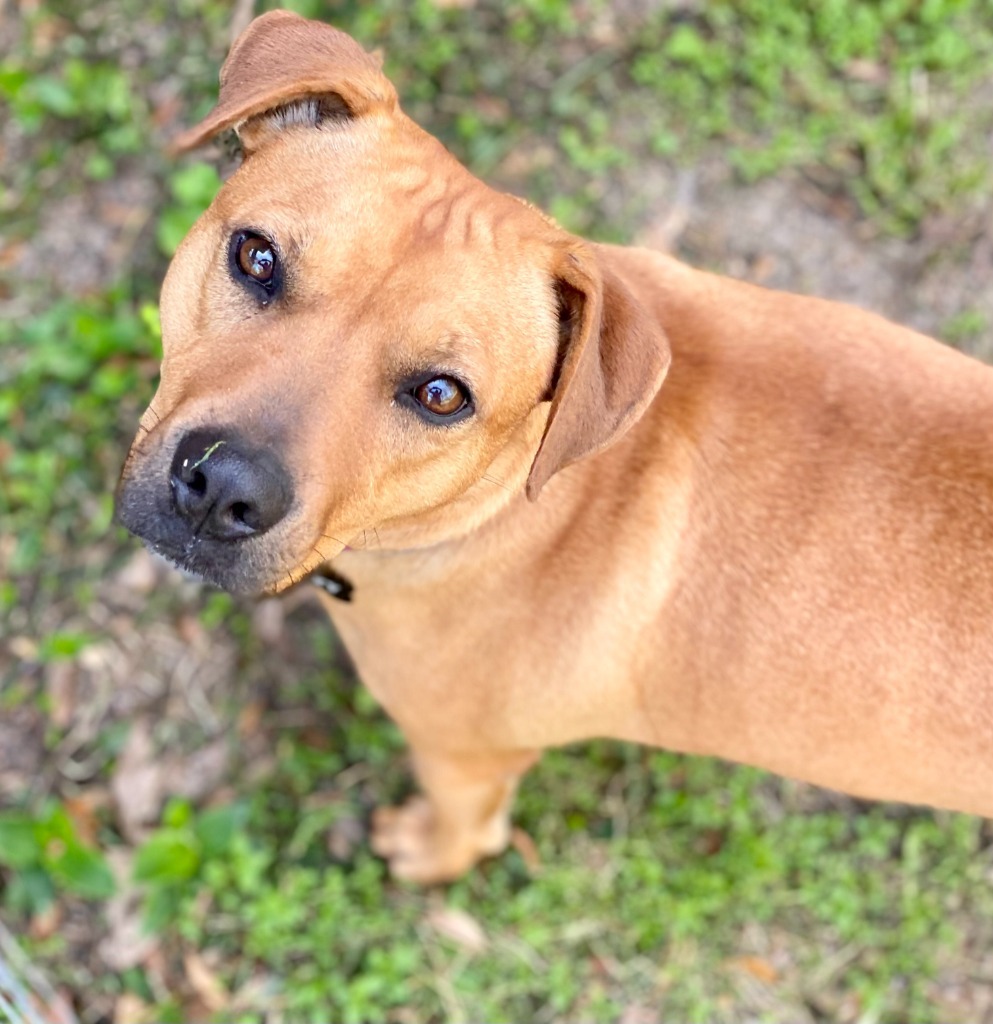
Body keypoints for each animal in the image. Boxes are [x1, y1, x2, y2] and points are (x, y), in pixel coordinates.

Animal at [116, 12, 990, 884]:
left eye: (442, 395)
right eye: (256, 257)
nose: (221, 486)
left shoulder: (466, 759)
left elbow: (463, 835)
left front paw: (423, 854)